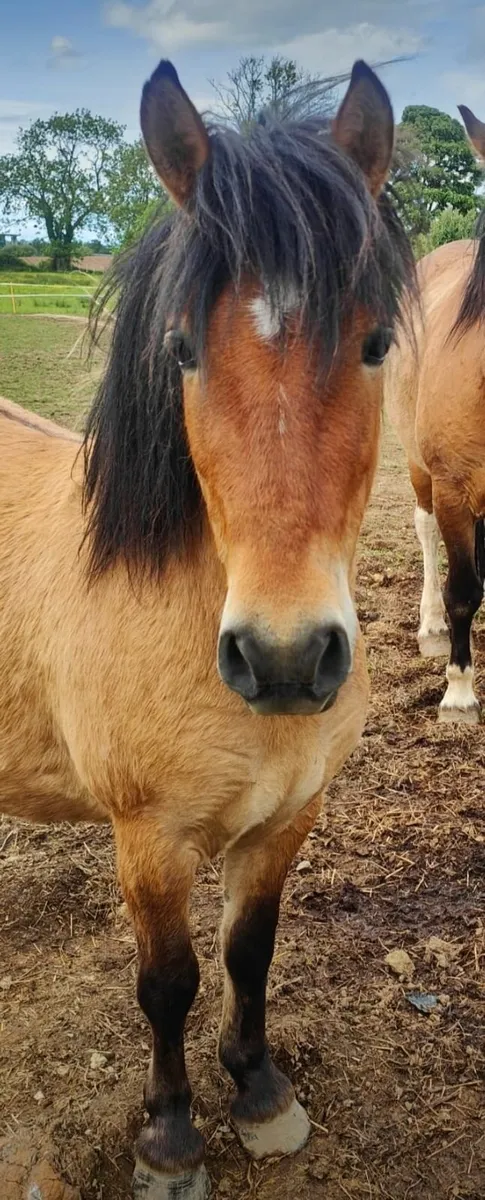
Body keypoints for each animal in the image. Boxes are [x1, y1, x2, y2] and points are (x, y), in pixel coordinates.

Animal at [0, 60, 414, 1199]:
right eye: (181, 349)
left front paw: (261, 1094)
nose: (283, 656)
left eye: (373, 343)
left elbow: (247, 954)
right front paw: (172, 1137)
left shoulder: (285, 821)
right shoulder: (148, 840)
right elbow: (168, 982)